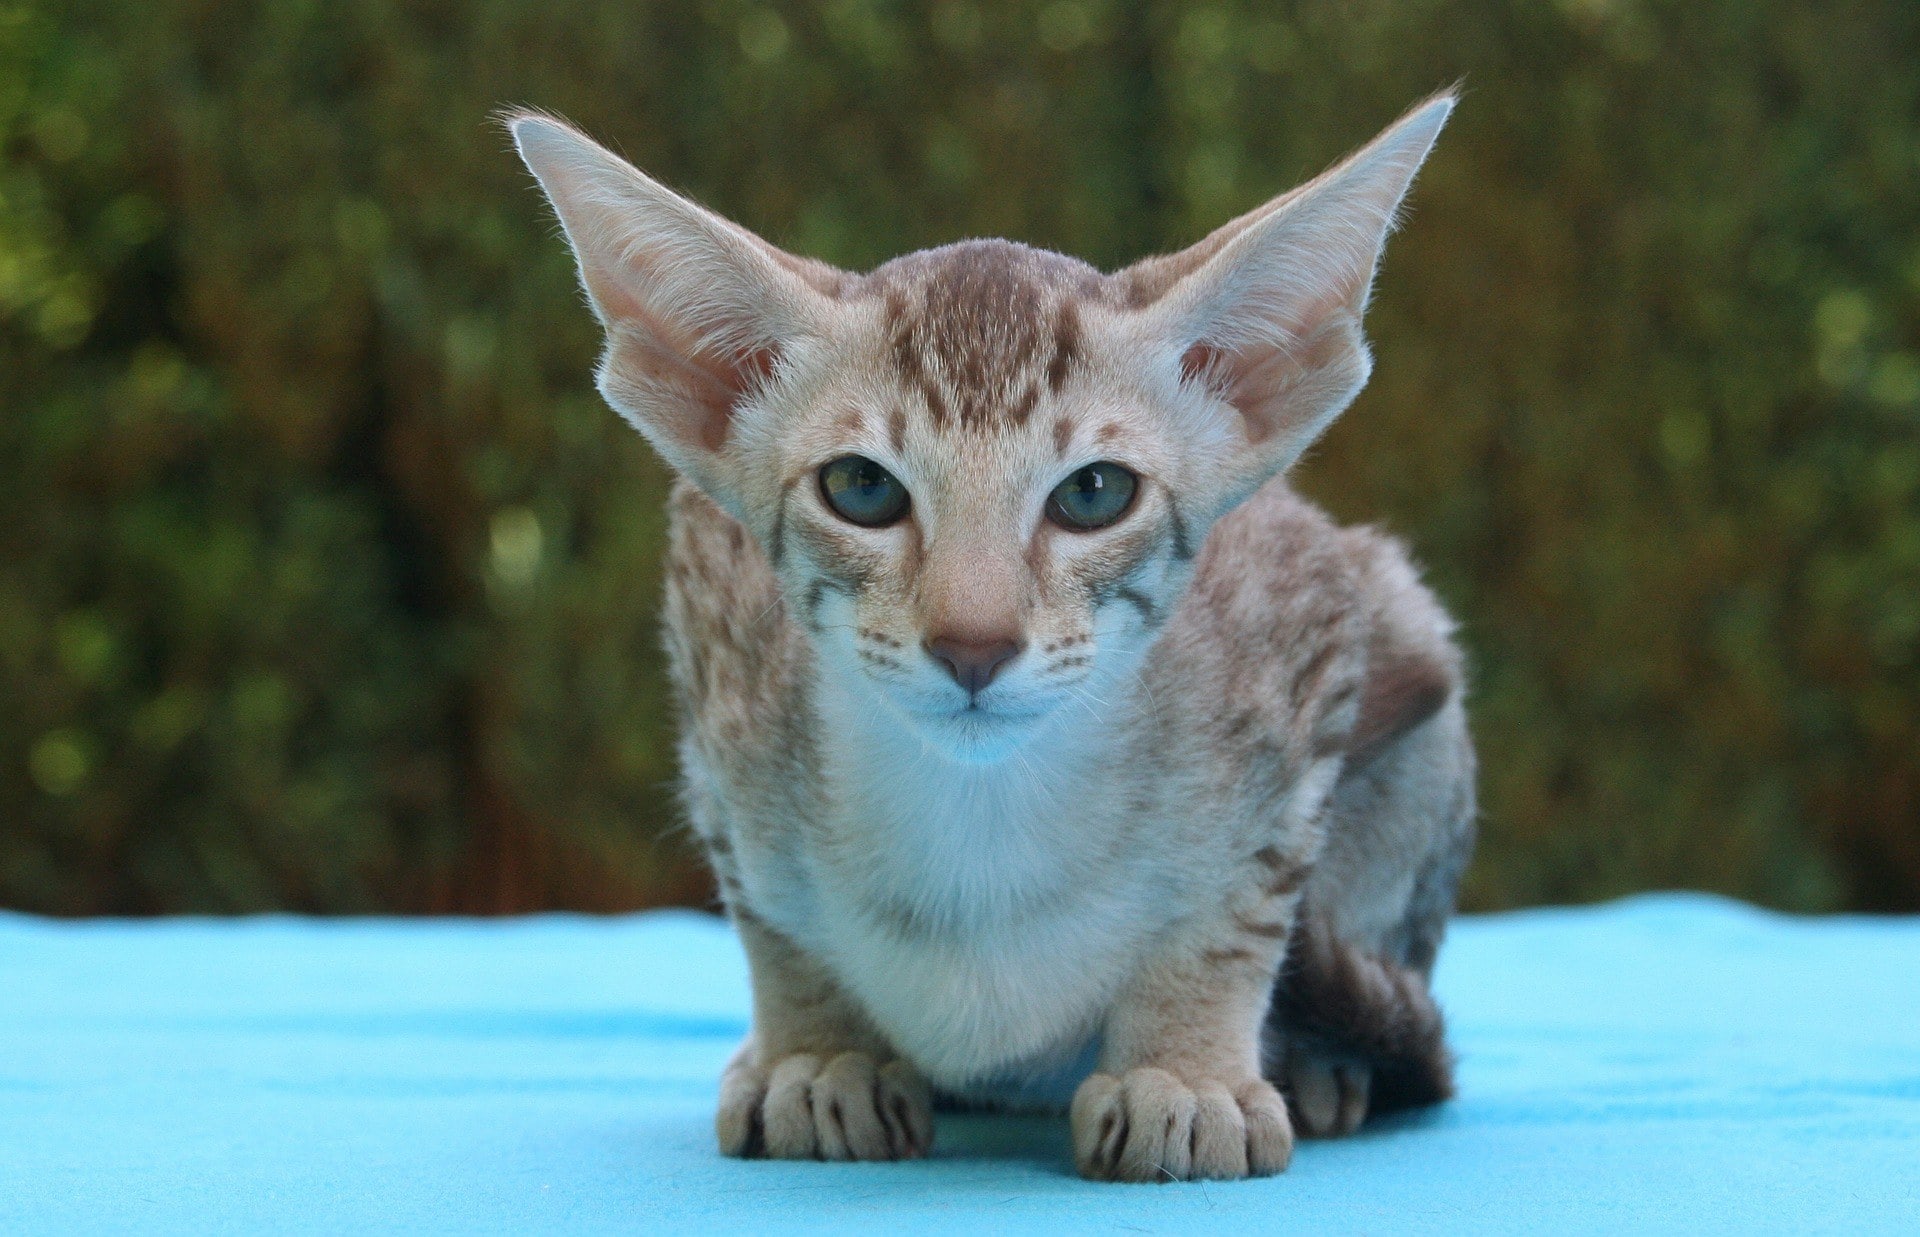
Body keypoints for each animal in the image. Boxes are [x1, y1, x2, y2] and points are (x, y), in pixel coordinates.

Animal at [506, 89, 1466, 1175]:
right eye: (861, 486)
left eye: (1094, 493)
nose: (974, 643)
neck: (983, 825)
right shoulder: (713, 643)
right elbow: (771, 917)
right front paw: (817, 1050)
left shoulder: (1312, 624)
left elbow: (1241, 904)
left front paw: (1182, 1065)